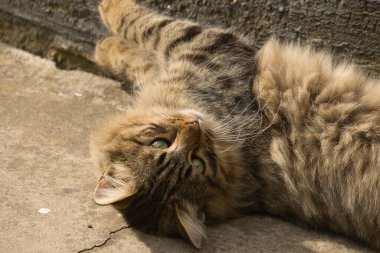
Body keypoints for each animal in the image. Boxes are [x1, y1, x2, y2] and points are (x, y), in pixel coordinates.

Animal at [90, 0, 380, 249]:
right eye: (199, 163)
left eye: (160, 143)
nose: (194, 124)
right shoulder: (210, 48)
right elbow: (147, 28)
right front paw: (108, 25)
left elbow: (144, 46)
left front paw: (105, 45)